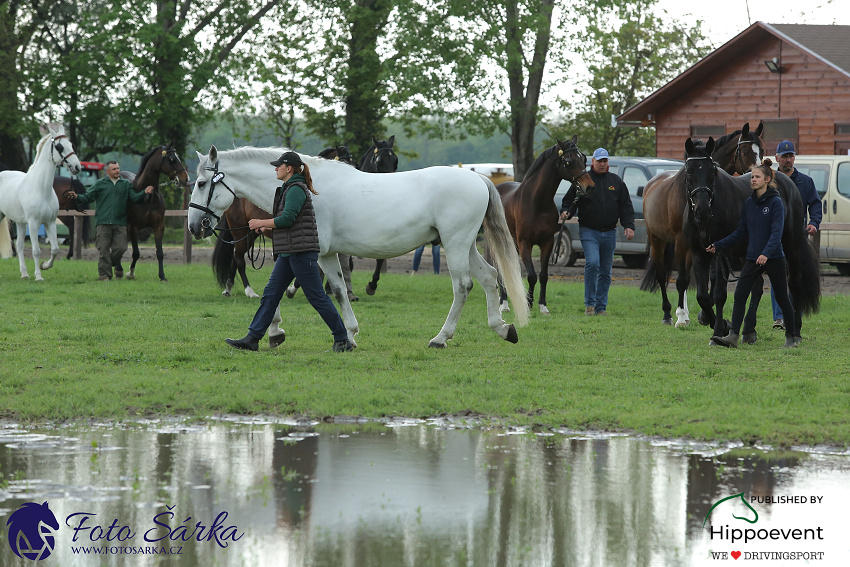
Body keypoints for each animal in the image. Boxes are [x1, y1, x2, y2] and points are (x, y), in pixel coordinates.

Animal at [0, 127, 82, 282]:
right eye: (59, 147)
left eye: (71, 144)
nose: (77, 167)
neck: (42, 189)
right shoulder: (33, 223)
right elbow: (36, 251)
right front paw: (38, 276)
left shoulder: (50, 222)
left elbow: (55, 249)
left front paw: (45, 265)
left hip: (20, 222)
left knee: (19, 246)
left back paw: (24, 274)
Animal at [119, 145, 189, 280]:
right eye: (172, 159)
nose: (185, 178)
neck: (147, 196)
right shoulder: (133, 227)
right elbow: (136, 253)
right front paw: (130, 273)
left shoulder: (158, 226)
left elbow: (160, 253)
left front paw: (162, 276)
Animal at [189, 144, 528, 348]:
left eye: (202, 183)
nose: (195, 226)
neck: (309, 188)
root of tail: (479, 180)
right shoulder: (324, 254)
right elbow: (334, 291)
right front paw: (347, 335)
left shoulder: (317, 254)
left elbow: (310, 291)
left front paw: (279, 331)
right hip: (465, 244)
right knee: (488, 277)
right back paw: (503, 328)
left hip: (456, 243)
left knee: (463, 286)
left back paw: (441, 338)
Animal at [494, 137, 592, 316]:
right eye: (569, 161)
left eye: (584, 159)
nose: (589, 186)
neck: (537, 202)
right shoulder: (525, 243)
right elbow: (532, 276)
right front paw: (529, 303)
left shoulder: (548, 243)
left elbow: (544, 275)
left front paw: (542, 306)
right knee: (499, 271)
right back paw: (503, 304)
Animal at [644, 138, 816, 342]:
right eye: (689, 171)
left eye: (712, 171)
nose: (702, 210)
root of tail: (787, 182)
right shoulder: (698, 252)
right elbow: (702, 295)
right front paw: (716, 323)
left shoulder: (720, 253)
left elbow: (719, 294)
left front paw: (719, 328)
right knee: (757, 286)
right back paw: (748, 331)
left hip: (790, 245)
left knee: (794, 282)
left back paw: (795, 329)